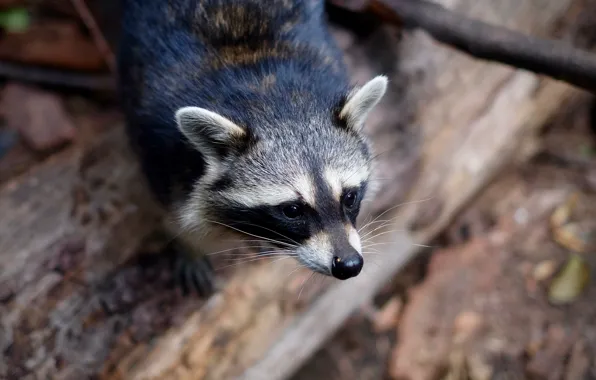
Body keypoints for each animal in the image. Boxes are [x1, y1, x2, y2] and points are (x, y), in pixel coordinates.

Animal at [117, 0, 386, 296]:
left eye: (349, 197)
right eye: (292, 210)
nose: (349, 264)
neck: (269, 95)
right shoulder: (155, 140)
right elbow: (170, 205)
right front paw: (186, 244)